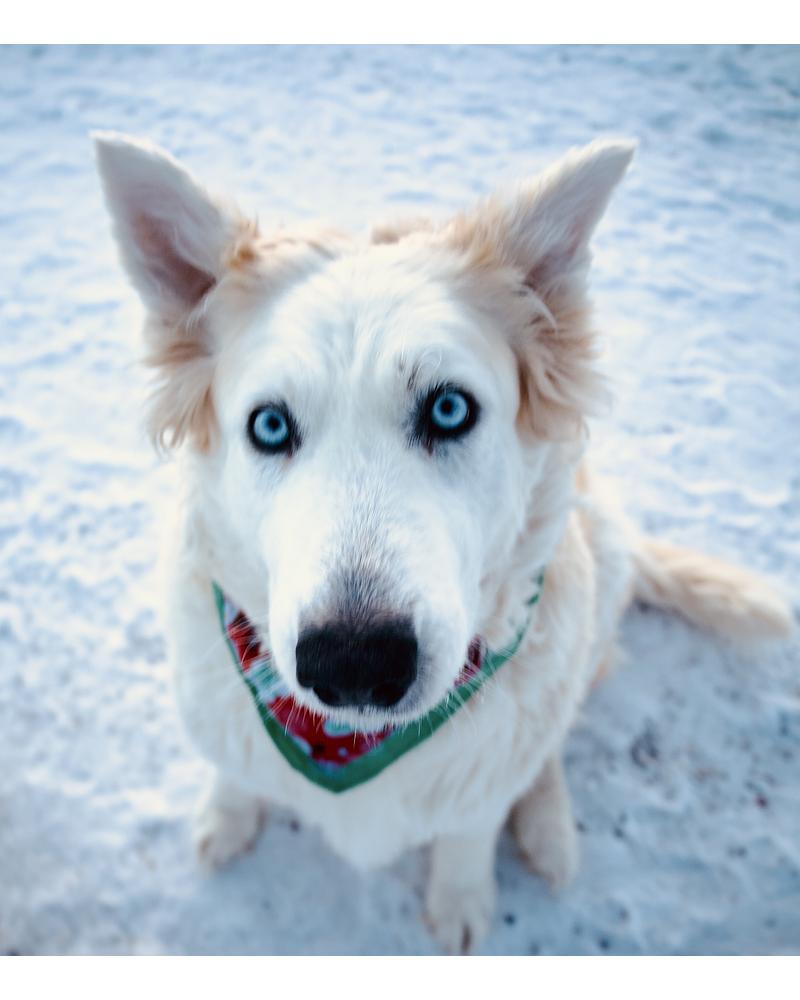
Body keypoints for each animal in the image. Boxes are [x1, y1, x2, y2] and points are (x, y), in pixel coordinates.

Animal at [95, 134, 793, 954]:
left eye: (450, 409)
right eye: (269, 425)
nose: (355, 661)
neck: (347, 742)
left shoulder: (480, 785)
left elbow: (470, 830)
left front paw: (461, 900)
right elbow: (236, 773)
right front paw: (226, 820)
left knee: (549, 743)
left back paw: (550, 828)